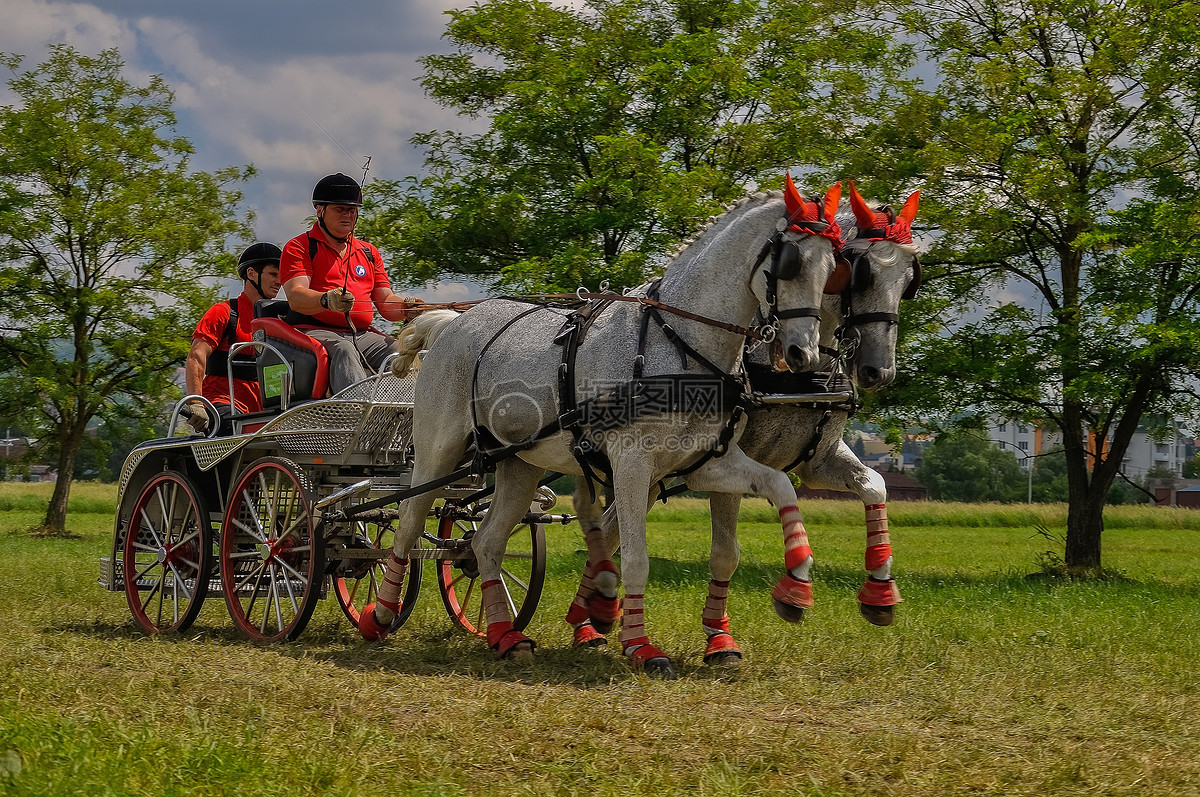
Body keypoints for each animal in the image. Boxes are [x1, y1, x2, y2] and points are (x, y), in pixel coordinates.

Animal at [357, 178, 844, 672]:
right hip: (438, 451)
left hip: (519, 463)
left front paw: (796, 588)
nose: (804, 355)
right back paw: (379, 615)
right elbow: (635, 558)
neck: (680, 342)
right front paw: (639, 645)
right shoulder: (631, 464)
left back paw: (505, 636)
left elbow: (780, 486)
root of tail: (454, 321)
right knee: (409, 522)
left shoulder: (704, 463)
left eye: (833, 268)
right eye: (791, 264)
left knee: (486, 544)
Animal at [561, 183, 916, 662]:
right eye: (859, 273)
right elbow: (725, 553)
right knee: (609, 527)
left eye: (909, 279)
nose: (880, 371)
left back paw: (592, 614)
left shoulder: (817, 461)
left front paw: (880, 593)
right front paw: (723, 634)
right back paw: (586, 619)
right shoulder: (722, 462)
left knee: (610, 528)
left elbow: (874, 486)